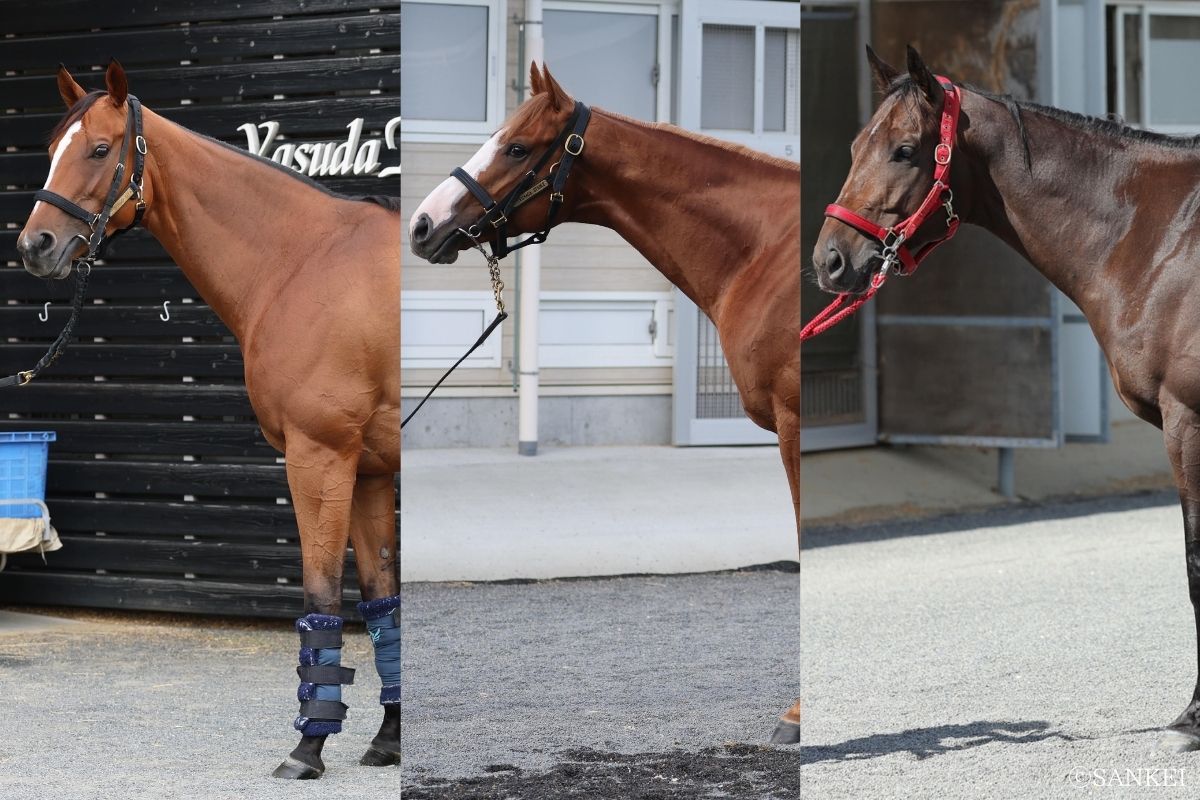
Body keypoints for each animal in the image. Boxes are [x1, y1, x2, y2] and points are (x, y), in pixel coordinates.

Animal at [15, 61, 400, 779]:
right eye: (52, 148)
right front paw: (390, 738)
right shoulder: (368, 470)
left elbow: (320, 596)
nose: (35, 245)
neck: (304, 261)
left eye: (100, 149)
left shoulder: (320, 458)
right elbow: (381, 598)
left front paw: (307, 747)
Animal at [814, 43, 1200, 753]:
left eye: (904, 150)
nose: (830, 261)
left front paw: (1193, 717)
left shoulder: (1186, 423)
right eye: (856, 145)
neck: (1162, 238)